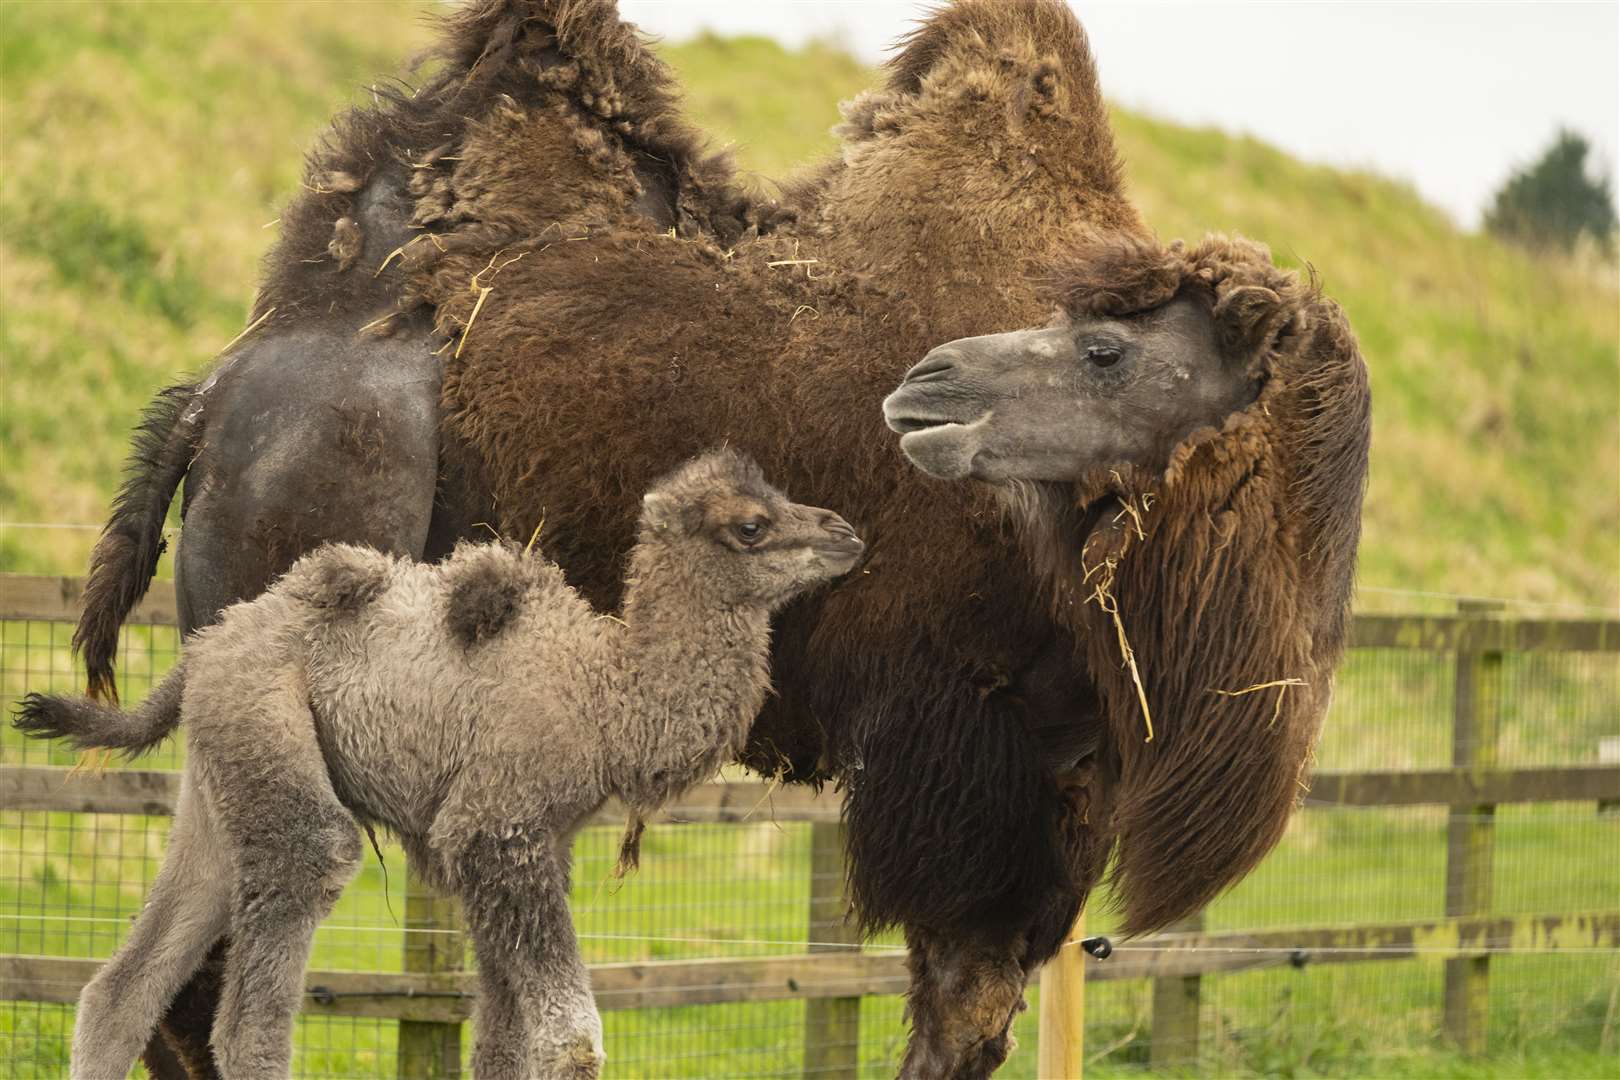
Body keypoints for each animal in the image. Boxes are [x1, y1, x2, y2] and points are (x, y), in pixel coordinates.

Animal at [12, 450, 861, 1080]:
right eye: (751, 525)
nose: (847, 531)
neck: (604, 696)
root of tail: (205, 647)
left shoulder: (529, 849)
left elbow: (501, 1041)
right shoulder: (495, 829)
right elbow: (570, 1041)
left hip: (224, 775)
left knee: (121, 989)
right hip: (274, 752)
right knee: (255, 1005)